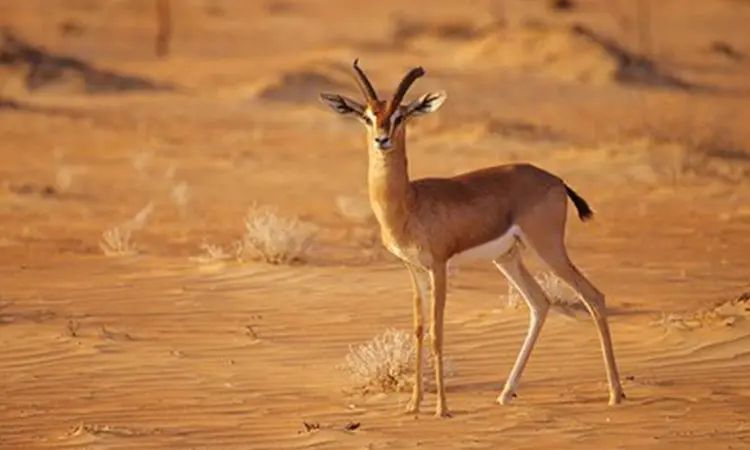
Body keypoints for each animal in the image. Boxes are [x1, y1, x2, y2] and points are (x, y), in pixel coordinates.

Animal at [319, 60, 625, 418]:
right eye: (368, 116)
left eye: (401, 116)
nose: (382, 140)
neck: (409, 202)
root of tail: (556, 180)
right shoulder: (414, 269)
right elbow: (419, 330)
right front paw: (413, 405)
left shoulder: (439, 266)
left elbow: (437, 332)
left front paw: (441, 409)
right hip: (507, 257)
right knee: (540, 303)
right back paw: (506, 394)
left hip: (547, 248)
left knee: (594, 296)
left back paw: (616, 394)